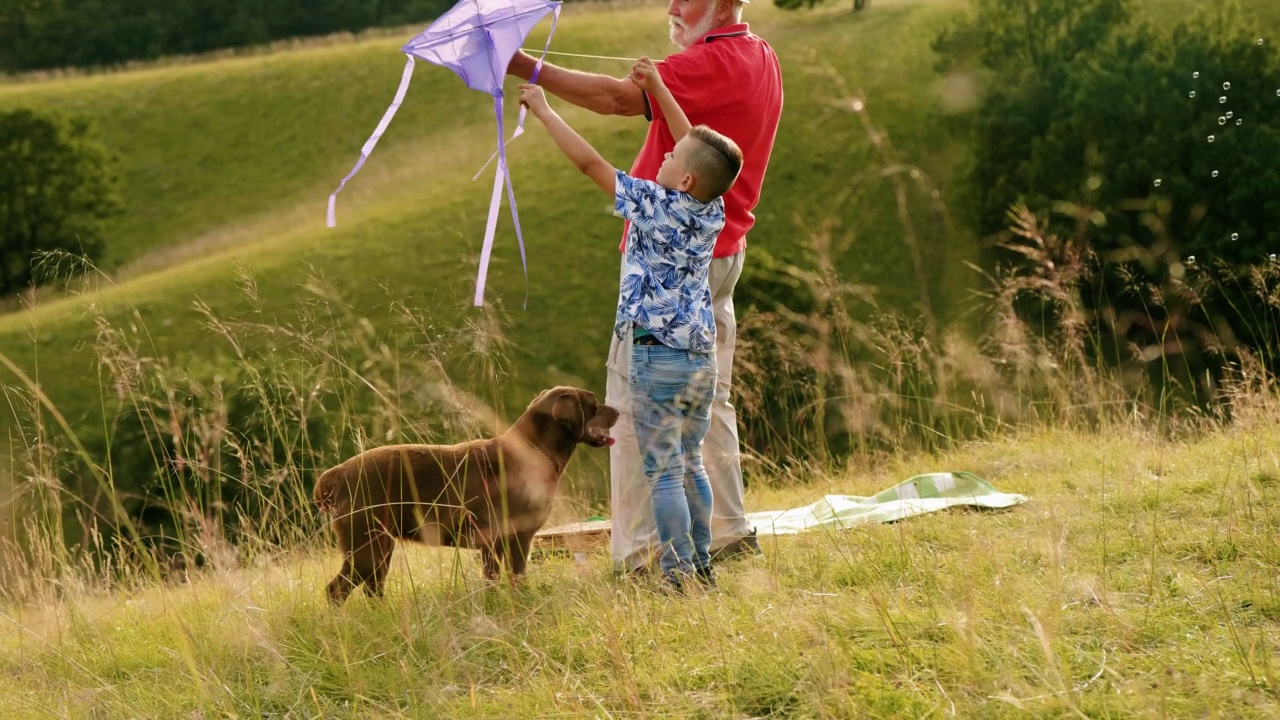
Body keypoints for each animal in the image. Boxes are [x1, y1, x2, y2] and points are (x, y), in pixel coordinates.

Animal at [312, 384, 616, 602]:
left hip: (380, 547)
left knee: (370, 588)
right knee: (336, 590)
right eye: (593, 404)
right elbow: (512, 579)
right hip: (366, 546)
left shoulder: (498, 542)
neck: (532, 452)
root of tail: (334, 475)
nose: (618, 411)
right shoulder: (513, 538)